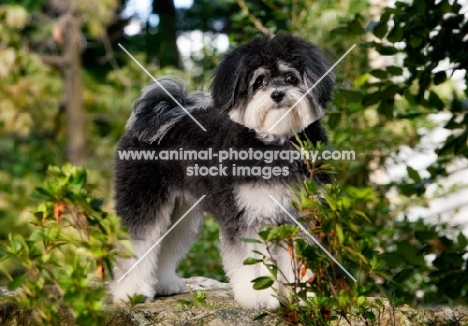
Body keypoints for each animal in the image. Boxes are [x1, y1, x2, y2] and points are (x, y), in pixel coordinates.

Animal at [111, 34, 334, 310]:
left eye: (291, 77)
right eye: (259, 81)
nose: (278, 94)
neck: (275, 143)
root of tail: (161, 113)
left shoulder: (299, 216)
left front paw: (304, 297)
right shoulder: (246, 216)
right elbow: (252, 263)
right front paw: (259, 298)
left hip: (181, 212)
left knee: (166, 244)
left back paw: (163, 284)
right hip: (143, 198)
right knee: (138, 243)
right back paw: (131, 292)